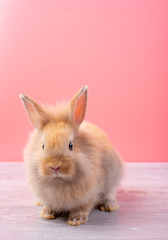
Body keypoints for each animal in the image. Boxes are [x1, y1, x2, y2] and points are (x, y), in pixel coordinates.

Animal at [20, 87, 124, 226]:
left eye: (70, 145)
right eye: (43, 145)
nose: (55, 166)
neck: (59, 181)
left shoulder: (90, 194)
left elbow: (83, 207)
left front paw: (75, 220)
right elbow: (50, 205)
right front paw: (46, 214)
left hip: (113, 177)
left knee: (110, 193)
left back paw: (109, 206)